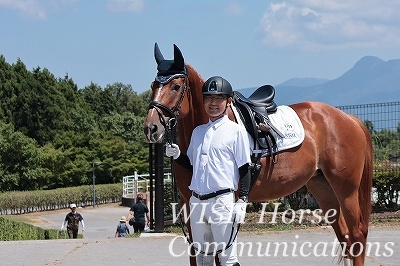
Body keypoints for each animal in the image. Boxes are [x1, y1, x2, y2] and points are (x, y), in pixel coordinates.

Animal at [144, 43, 372, 266]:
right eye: (153, 85)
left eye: (175, 86)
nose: (151, 128)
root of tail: (349, 118)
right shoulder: (190, 207)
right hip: (323, 188)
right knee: (345, 237)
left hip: (346, 189)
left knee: (357, 234)